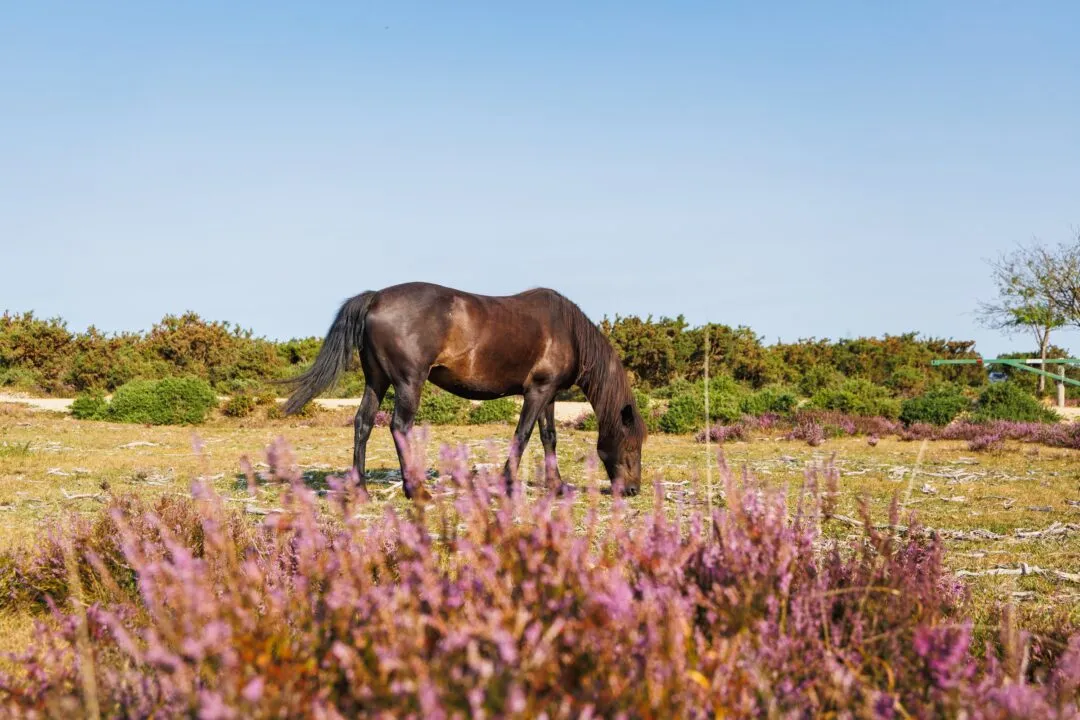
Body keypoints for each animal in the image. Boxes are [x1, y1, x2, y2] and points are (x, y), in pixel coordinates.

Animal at [280, 282, 647, 499]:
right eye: (631, 445)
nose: (632, 489)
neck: (567, 331)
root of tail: (374, 298)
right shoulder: (537, 392)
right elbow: (523, 435)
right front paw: (508, 484)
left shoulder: (549, 393)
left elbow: (548, 437)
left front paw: (556, 485)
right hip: (408, 383)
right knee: (399, 427)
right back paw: (415, 489)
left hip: (377, 381)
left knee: (363, 424)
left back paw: (362, 489)